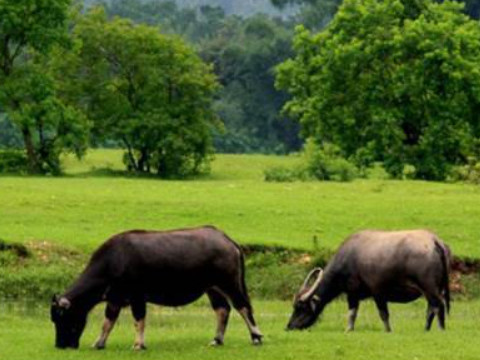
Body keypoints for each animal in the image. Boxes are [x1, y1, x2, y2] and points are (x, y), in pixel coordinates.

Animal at [49, 228, 262, 348]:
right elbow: (108, 322)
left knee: (243, 306)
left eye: (62, 318)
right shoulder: (115, 299)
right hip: (212, 288)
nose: (60, 345)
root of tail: (227, 240)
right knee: (222, 309)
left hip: (230, 283)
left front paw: (138, 345)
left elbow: (138, 320)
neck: (114, 261)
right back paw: (217, 340)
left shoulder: (137, 297)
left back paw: (256, 337)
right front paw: (99, 343)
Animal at [288, 231, 450, 332]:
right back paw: (426, 329)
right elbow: (355, 314)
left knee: (438, 306)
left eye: (300, 307)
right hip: (435, 288)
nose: (289, 326)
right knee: (431, 308)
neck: (349, 258)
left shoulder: (369, 293)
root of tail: (434, 241)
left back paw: (441, 329)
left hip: (429, 287)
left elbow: (376, 314)